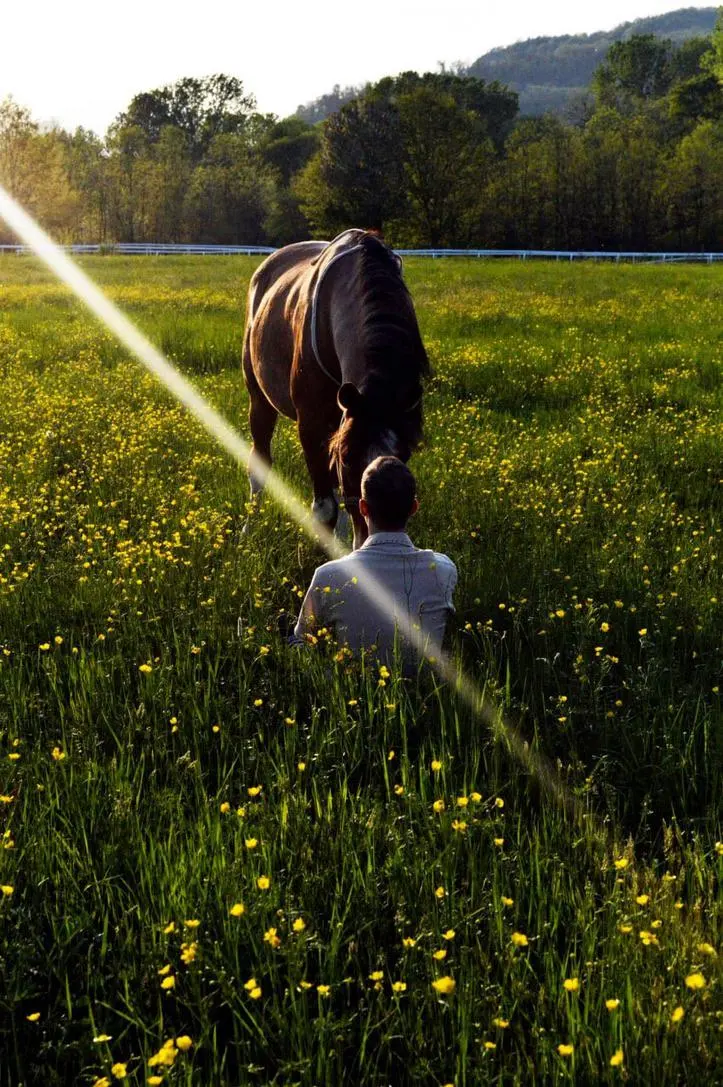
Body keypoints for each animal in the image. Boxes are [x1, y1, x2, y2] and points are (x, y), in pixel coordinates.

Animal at [242, 228, 429, 549]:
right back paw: (248, 527)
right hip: (260, 401)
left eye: (403, 454)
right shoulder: (312, 424)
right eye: (347, 458)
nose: (373, 529)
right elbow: (326, 506)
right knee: (260, 461)